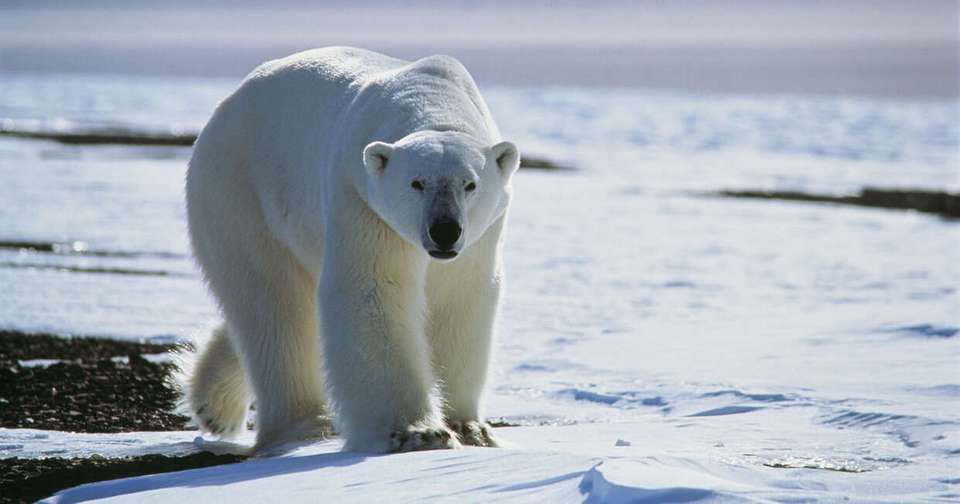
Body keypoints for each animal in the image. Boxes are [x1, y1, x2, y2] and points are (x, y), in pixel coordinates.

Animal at [184, 46, 519, 454]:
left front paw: (470, 427)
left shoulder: (480, 236)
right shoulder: (361, 198)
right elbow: (372, 291)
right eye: (416, 183)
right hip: (240, 192)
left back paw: (213, 403)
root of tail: (226, 106)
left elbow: (460, 298)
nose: (444, 231)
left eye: (470, 184)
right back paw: (305, 425)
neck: (431, 97)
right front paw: (418, 432)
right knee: (273, 304)